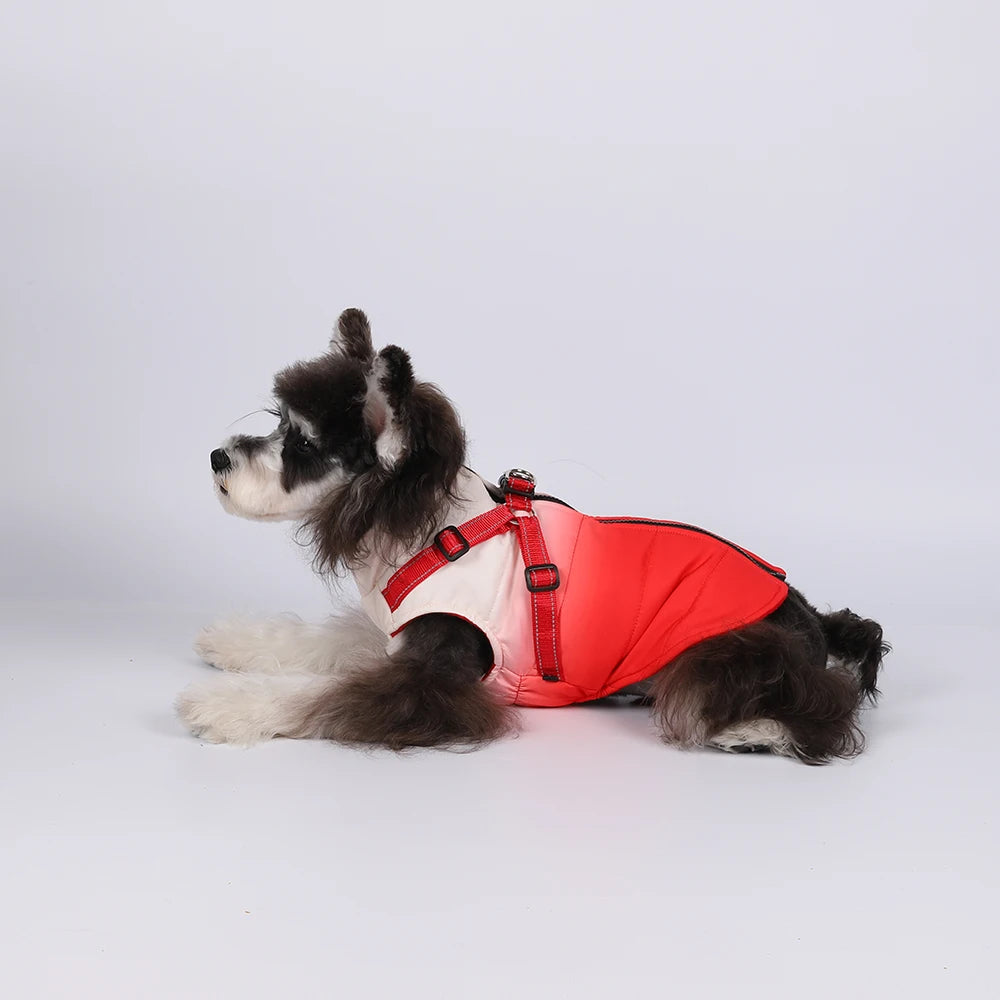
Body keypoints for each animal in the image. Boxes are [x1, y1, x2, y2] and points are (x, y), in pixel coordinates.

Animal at [178, 309, 889, 763]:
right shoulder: (393, 630)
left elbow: (325, 695)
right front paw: (235, 641)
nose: (215, 457)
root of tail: (812, 618)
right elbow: (317, 639)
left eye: (301, 445)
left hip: (723, 653)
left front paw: (228, 706)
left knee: (822, 708)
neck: (429, 532)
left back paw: (753, 733)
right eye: (278, 421)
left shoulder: (431, 679)